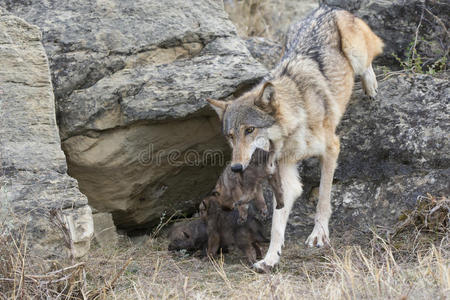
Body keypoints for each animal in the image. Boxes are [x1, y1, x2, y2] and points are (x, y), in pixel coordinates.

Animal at [207, 5, 384, 272]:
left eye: (250, 130)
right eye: (230, 136)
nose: (236, 167)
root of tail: (327, 7)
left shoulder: (332, 149)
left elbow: (323, 199)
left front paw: (319, 235)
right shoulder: (285, 174)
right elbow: (277, 224)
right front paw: (270, 257)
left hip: (356, 51)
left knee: (369, 60)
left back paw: (371, 85)